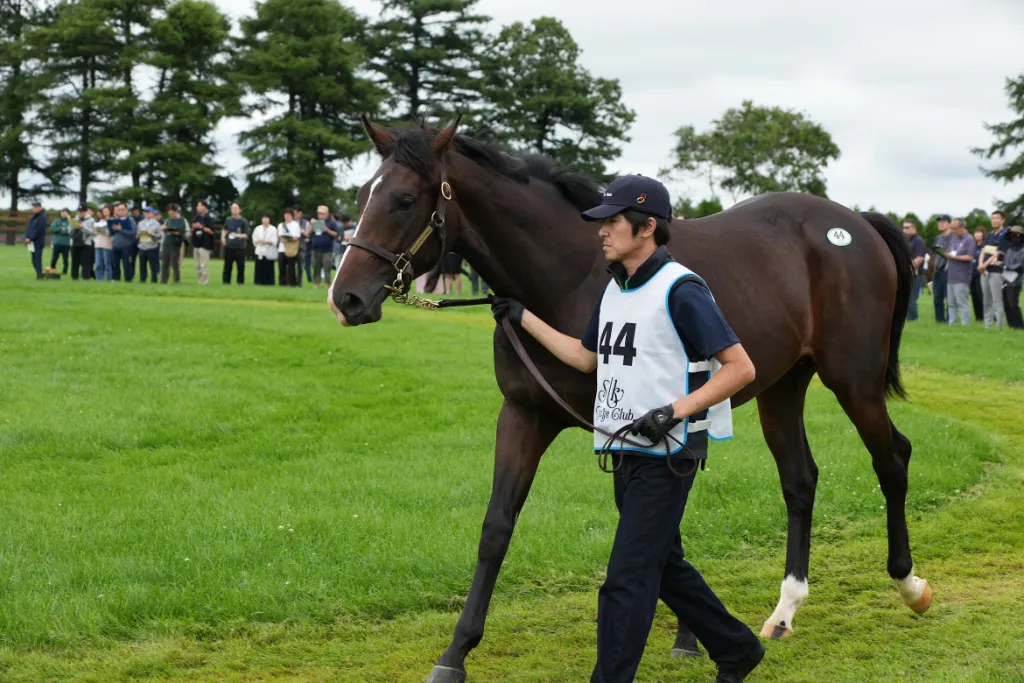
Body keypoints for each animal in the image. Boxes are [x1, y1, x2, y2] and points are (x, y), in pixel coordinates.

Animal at [328, 117, 929, 683]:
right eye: (360, 198)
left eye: (405, 200)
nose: (345, 298)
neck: (568, 277)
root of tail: (856, 222)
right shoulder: (526, 415)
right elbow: (497, 526)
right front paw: (455, 652)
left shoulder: (636, 428)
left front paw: (689, 636)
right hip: (783, 388)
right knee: (800, 479)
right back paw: (785, 610)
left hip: (853, 379)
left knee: (892, 457)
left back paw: (908, 581)